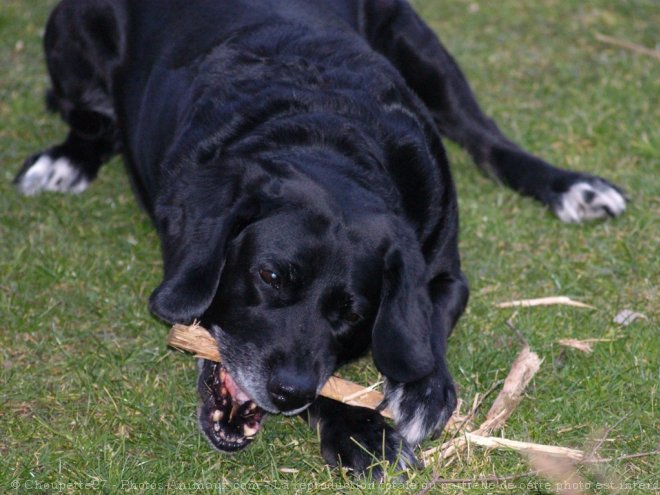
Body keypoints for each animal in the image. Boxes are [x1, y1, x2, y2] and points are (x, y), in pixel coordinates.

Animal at [12, 0, 628, 478]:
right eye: (268, 276)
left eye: (353, 313)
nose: (288, 392)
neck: (328, 135)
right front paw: (362, 432)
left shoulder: (444, 272)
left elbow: (424, 324)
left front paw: (422, 389)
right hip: (68, 31)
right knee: (89, 120)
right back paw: (65, 159)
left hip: (419, 44)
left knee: (485, 136)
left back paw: (572, 187)